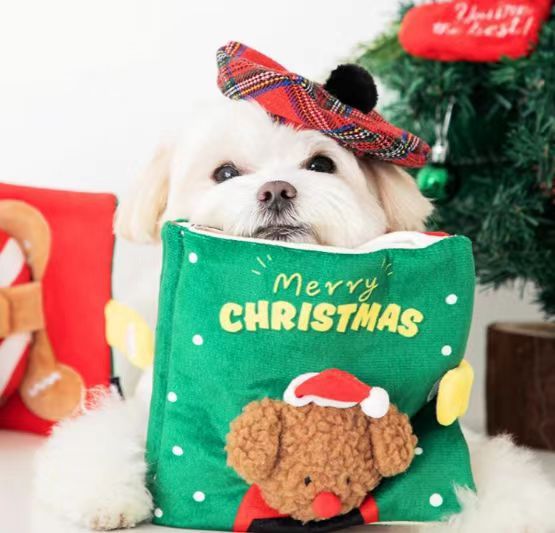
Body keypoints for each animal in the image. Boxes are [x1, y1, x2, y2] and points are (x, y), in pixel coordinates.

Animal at [34, 98, 555, 528]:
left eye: (322, 164)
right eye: (225, 173)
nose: (277, 190)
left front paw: (512, 505)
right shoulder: (146, 410)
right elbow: (103, 435)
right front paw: (107, 496)